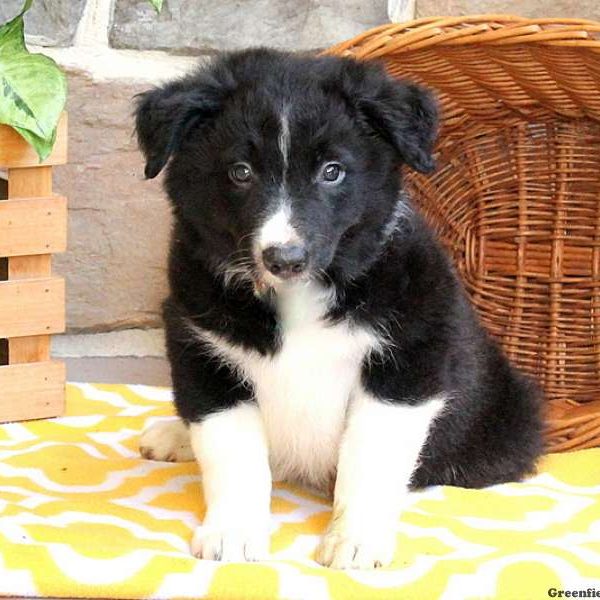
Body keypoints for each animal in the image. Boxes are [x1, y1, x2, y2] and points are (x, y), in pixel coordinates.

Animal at [137, 49, 544, 568]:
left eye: (332, 171)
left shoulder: (407, 362)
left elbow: (368, 458)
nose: (285, 258)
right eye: (240, 172)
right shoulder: (201, 351)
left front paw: (354, 540)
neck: (302, 297)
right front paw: (233, 533)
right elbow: (232, 452)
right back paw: (174, 434)